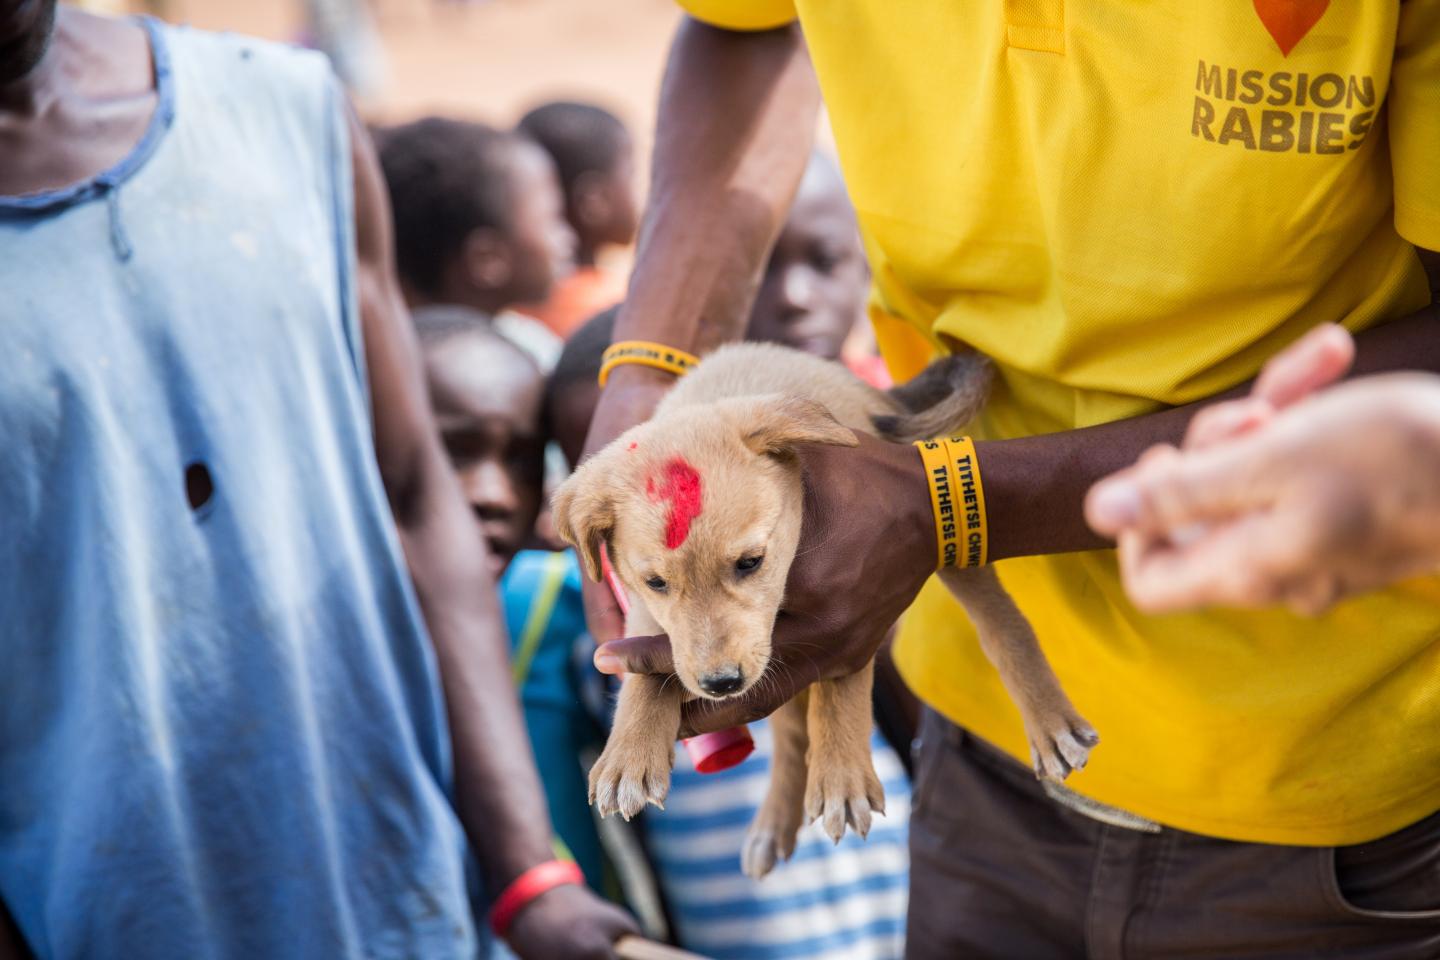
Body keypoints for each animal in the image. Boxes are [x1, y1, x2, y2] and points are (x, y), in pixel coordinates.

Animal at [555, 343, 1094, 880]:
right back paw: (773, 824)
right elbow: (649, 674)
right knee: (792, 736)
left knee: (1001, 622)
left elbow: (841, 683)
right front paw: (627, 754)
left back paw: (1050, 722)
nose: (721, 684)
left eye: (750, 562)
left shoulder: (859, 593)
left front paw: (840, 778)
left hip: (946, 534)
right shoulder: (647, 614)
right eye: (657, 583)